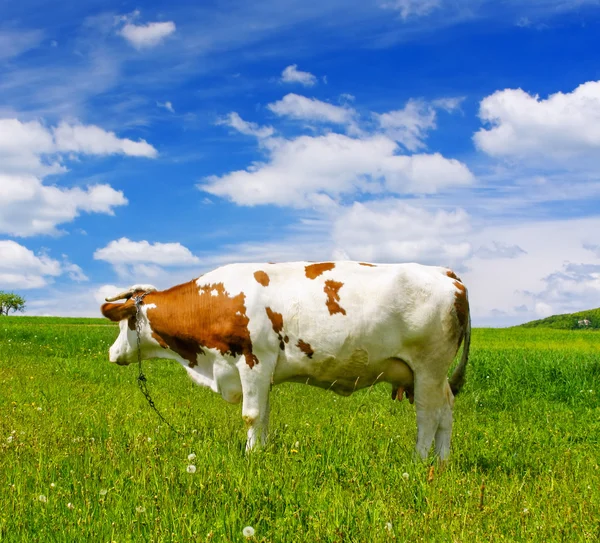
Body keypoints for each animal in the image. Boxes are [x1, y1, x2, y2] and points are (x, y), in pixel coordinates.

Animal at [101, 262, 472, 462]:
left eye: (125, 323)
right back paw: (442, 461)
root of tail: (444, 272)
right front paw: (261, 452)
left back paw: (418, 461)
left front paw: (249, 456)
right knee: (446, 411)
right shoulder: (262, 371)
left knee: (428, 415)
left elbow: (251, 415)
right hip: (433, 375)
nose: (111, 353)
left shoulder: (253, 360)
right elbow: (264, 415)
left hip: (428, 368)